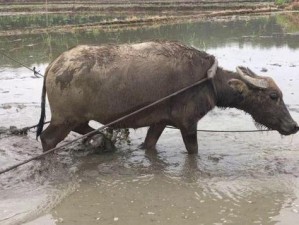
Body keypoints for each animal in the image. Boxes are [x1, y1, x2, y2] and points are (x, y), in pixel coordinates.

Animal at [35, 40, 299, 153]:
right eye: (273, 96)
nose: (293, 126)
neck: (207, 80)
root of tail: (54, 65)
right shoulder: (188, 123)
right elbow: (193, 151)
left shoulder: (160, 122)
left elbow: (149, 144)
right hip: (63, 119)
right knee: (48, 139)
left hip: (74, 118)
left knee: (84, 129)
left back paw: (103, 141)